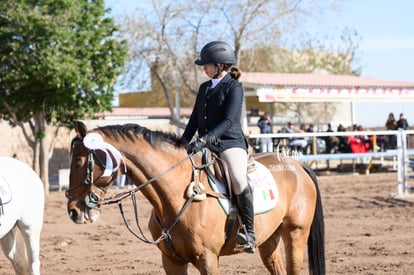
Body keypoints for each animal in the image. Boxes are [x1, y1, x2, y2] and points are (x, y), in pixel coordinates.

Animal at [66, 122, 326, 275]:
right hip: (269, 239)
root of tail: (298, 166)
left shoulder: (207, 259)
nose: (73, 211)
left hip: (295, 233)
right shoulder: (172, 261)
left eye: (79, 162)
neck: (173, 198)